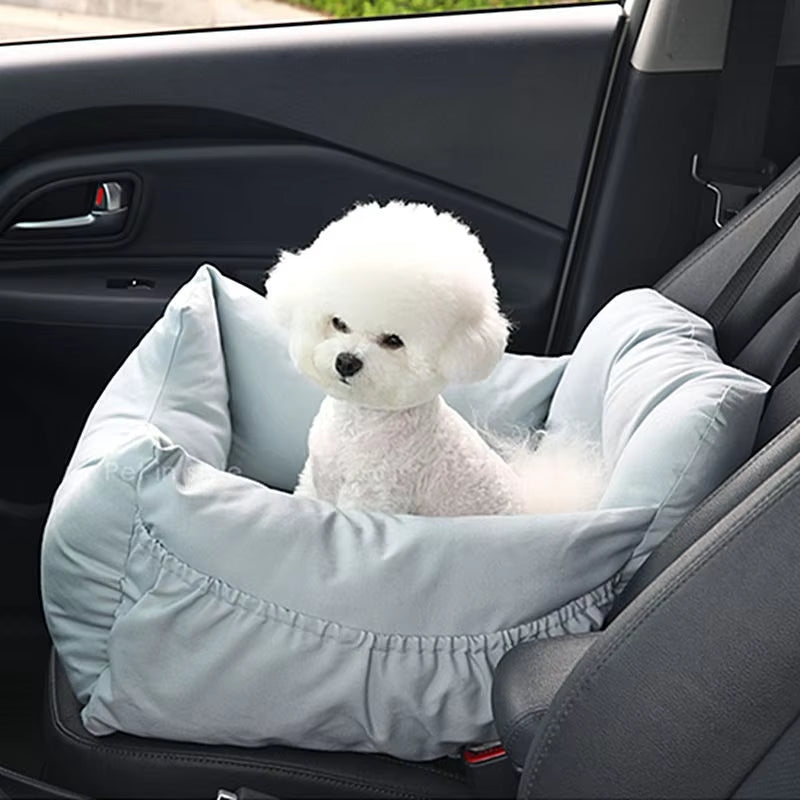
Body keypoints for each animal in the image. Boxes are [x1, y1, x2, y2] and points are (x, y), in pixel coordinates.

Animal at [266, 198, 604, 516]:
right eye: (338, 323)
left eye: (393, 341)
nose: (346, 362)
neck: (360, 422)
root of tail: (535, 505)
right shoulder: (314, 479)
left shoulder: (372, 496)